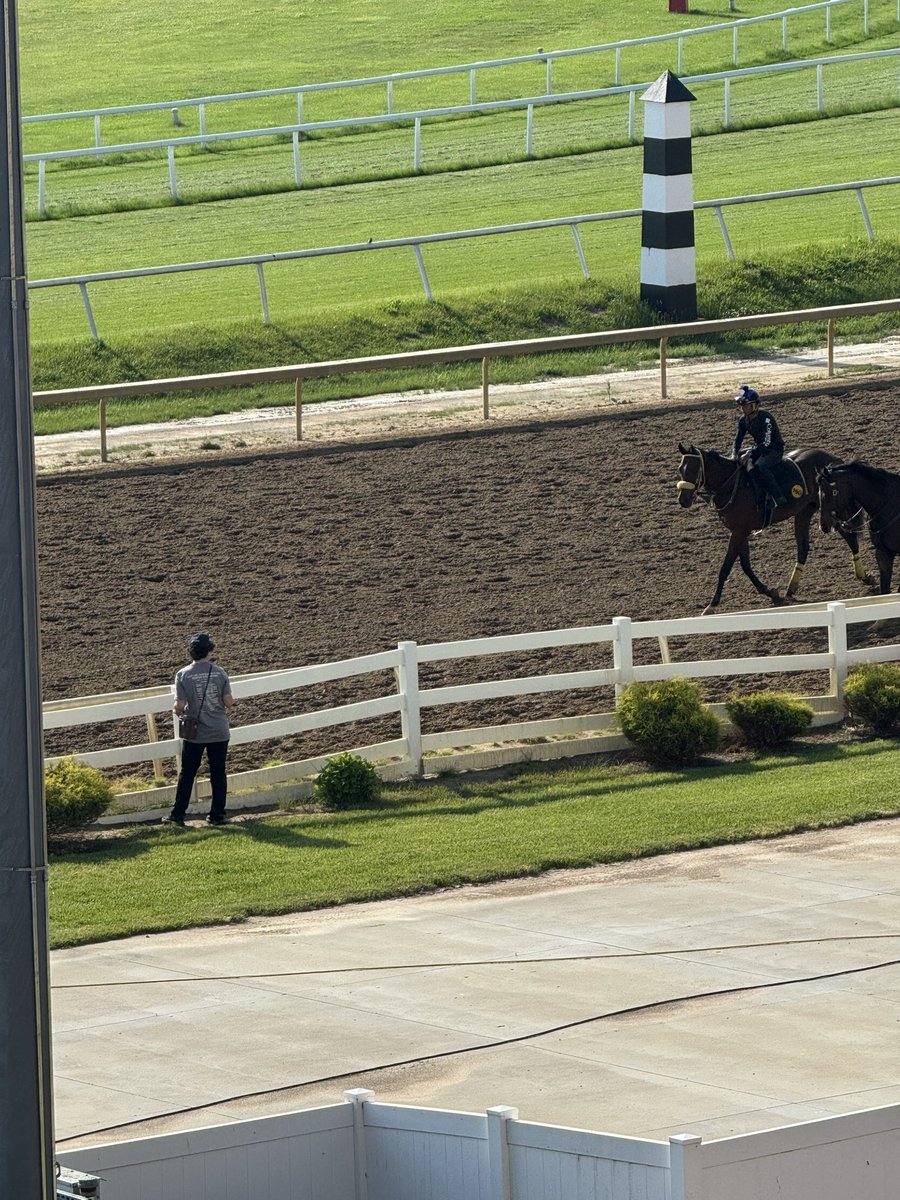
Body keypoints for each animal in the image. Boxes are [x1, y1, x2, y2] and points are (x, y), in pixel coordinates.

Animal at [681, 444, 868, 619]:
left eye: (693, 470)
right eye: (680, 470)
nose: (683, 500)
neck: (733, 485)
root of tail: (832, 458)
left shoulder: (740, 531)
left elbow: (726, 567)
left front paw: (712, 605)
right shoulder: (740, 530)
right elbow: (746, 565)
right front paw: (771, 593)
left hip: (830, 511)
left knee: (849, 536)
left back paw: (863, 575)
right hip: (805, 511)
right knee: (803, 547)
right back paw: (791, 589)